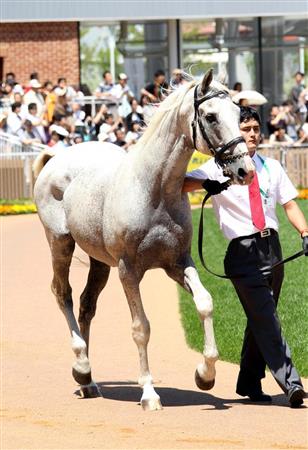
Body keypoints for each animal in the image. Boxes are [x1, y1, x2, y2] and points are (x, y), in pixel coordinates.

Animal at [34, 68, 255, 410]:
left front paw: (205, 374)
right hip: (60, 243)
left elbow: (205, 303)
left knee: (86, 304)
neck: (154, 189)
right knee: (63, 293)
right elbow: (141, 328)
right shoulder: (129, 271)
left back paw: (88, 381)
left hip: (100, 262)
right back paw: (81, 366)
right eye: (210, 116)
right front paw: (149, 393)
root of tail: (57, 156)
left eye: (237, 112)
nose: (245, 170)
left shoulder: (178, 263)